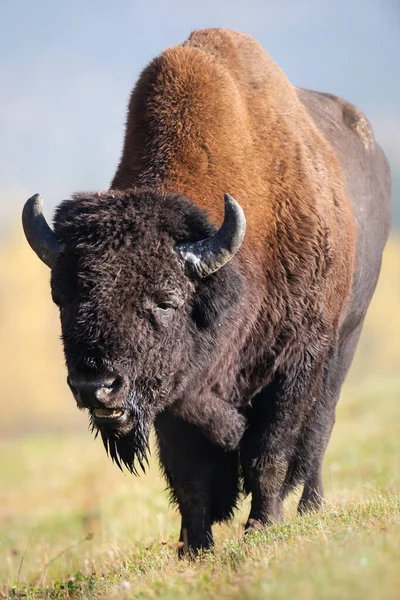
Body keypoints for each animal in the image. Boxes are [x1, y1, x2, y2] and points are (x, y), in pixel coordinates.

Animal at [21, 28, 390, 552]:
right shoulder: (174, 394)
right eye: (62, 296)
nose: (96, 387)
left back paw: (311, 506)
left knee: (320, 427)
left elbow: (270, 450)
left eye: (165, 300)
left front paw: (263, 525)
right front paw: (195, 547)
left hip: (345, 339)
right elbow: (190, 474)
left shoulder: (296, 360)